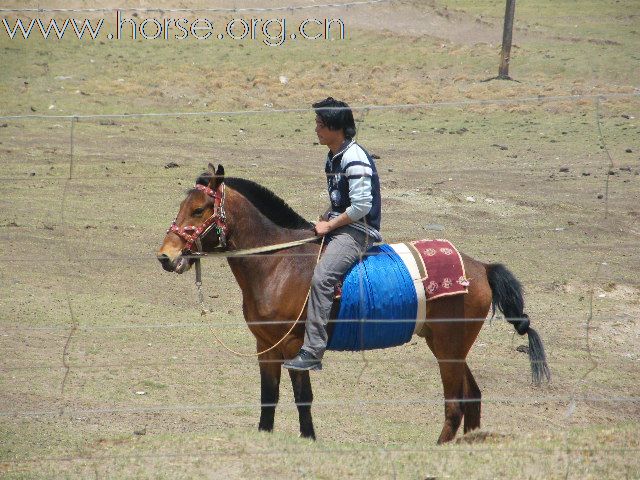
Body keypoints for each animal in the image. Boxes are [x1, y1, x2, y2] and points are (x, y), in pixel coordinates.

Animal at [156, 164, 552, 442]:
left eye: (199, 209)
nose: (166, 256)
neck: (278, 263)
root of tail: (481, 268)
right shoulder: (266, 346)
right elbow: (269, 396)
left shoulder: (296, 346)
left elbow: (302, 396)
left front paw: (308, 437)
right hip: (451, 347)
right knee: (473, 398)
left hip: (448, 350)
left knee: (455, 404)